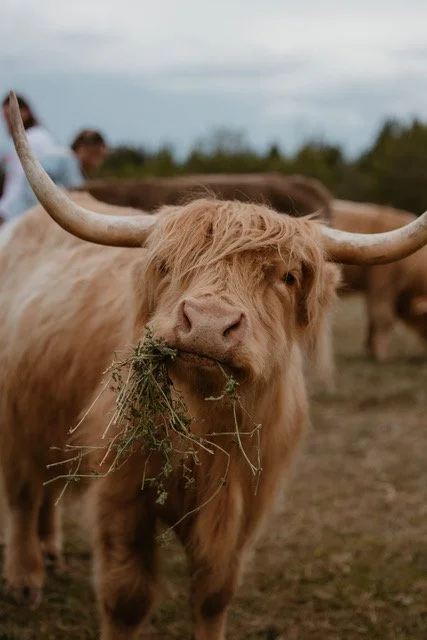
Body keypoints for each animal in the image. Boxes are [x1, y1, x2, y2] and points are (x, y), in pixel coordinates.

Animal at [332, 199, 427, 361]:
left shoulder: (374, 288)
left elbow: (371, 315)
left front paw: (369, 349)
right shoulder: (384, 282)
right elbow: (382, 315)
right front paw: (380, 356)